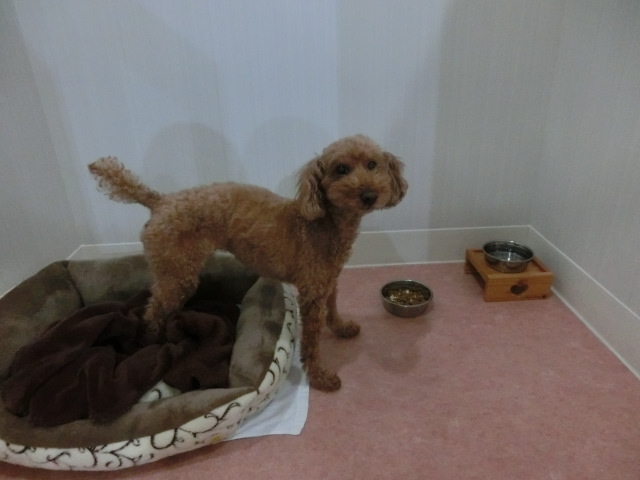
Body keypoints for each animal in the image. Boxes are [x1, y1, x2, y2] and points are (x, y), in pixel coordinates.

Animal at [89, 135, 407, 391]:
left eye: (372, 164)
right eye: (340, 169)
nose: (369, 195)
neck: (323, 222)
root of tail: (160, 201)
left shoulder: (328, 281)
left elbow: (334, 308)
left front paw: (342, 328)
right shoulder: (312, 292)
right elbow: (312, 343)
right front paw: (320, 377)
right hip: (177, 272)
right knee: (152, 311)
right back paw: (150, 344)